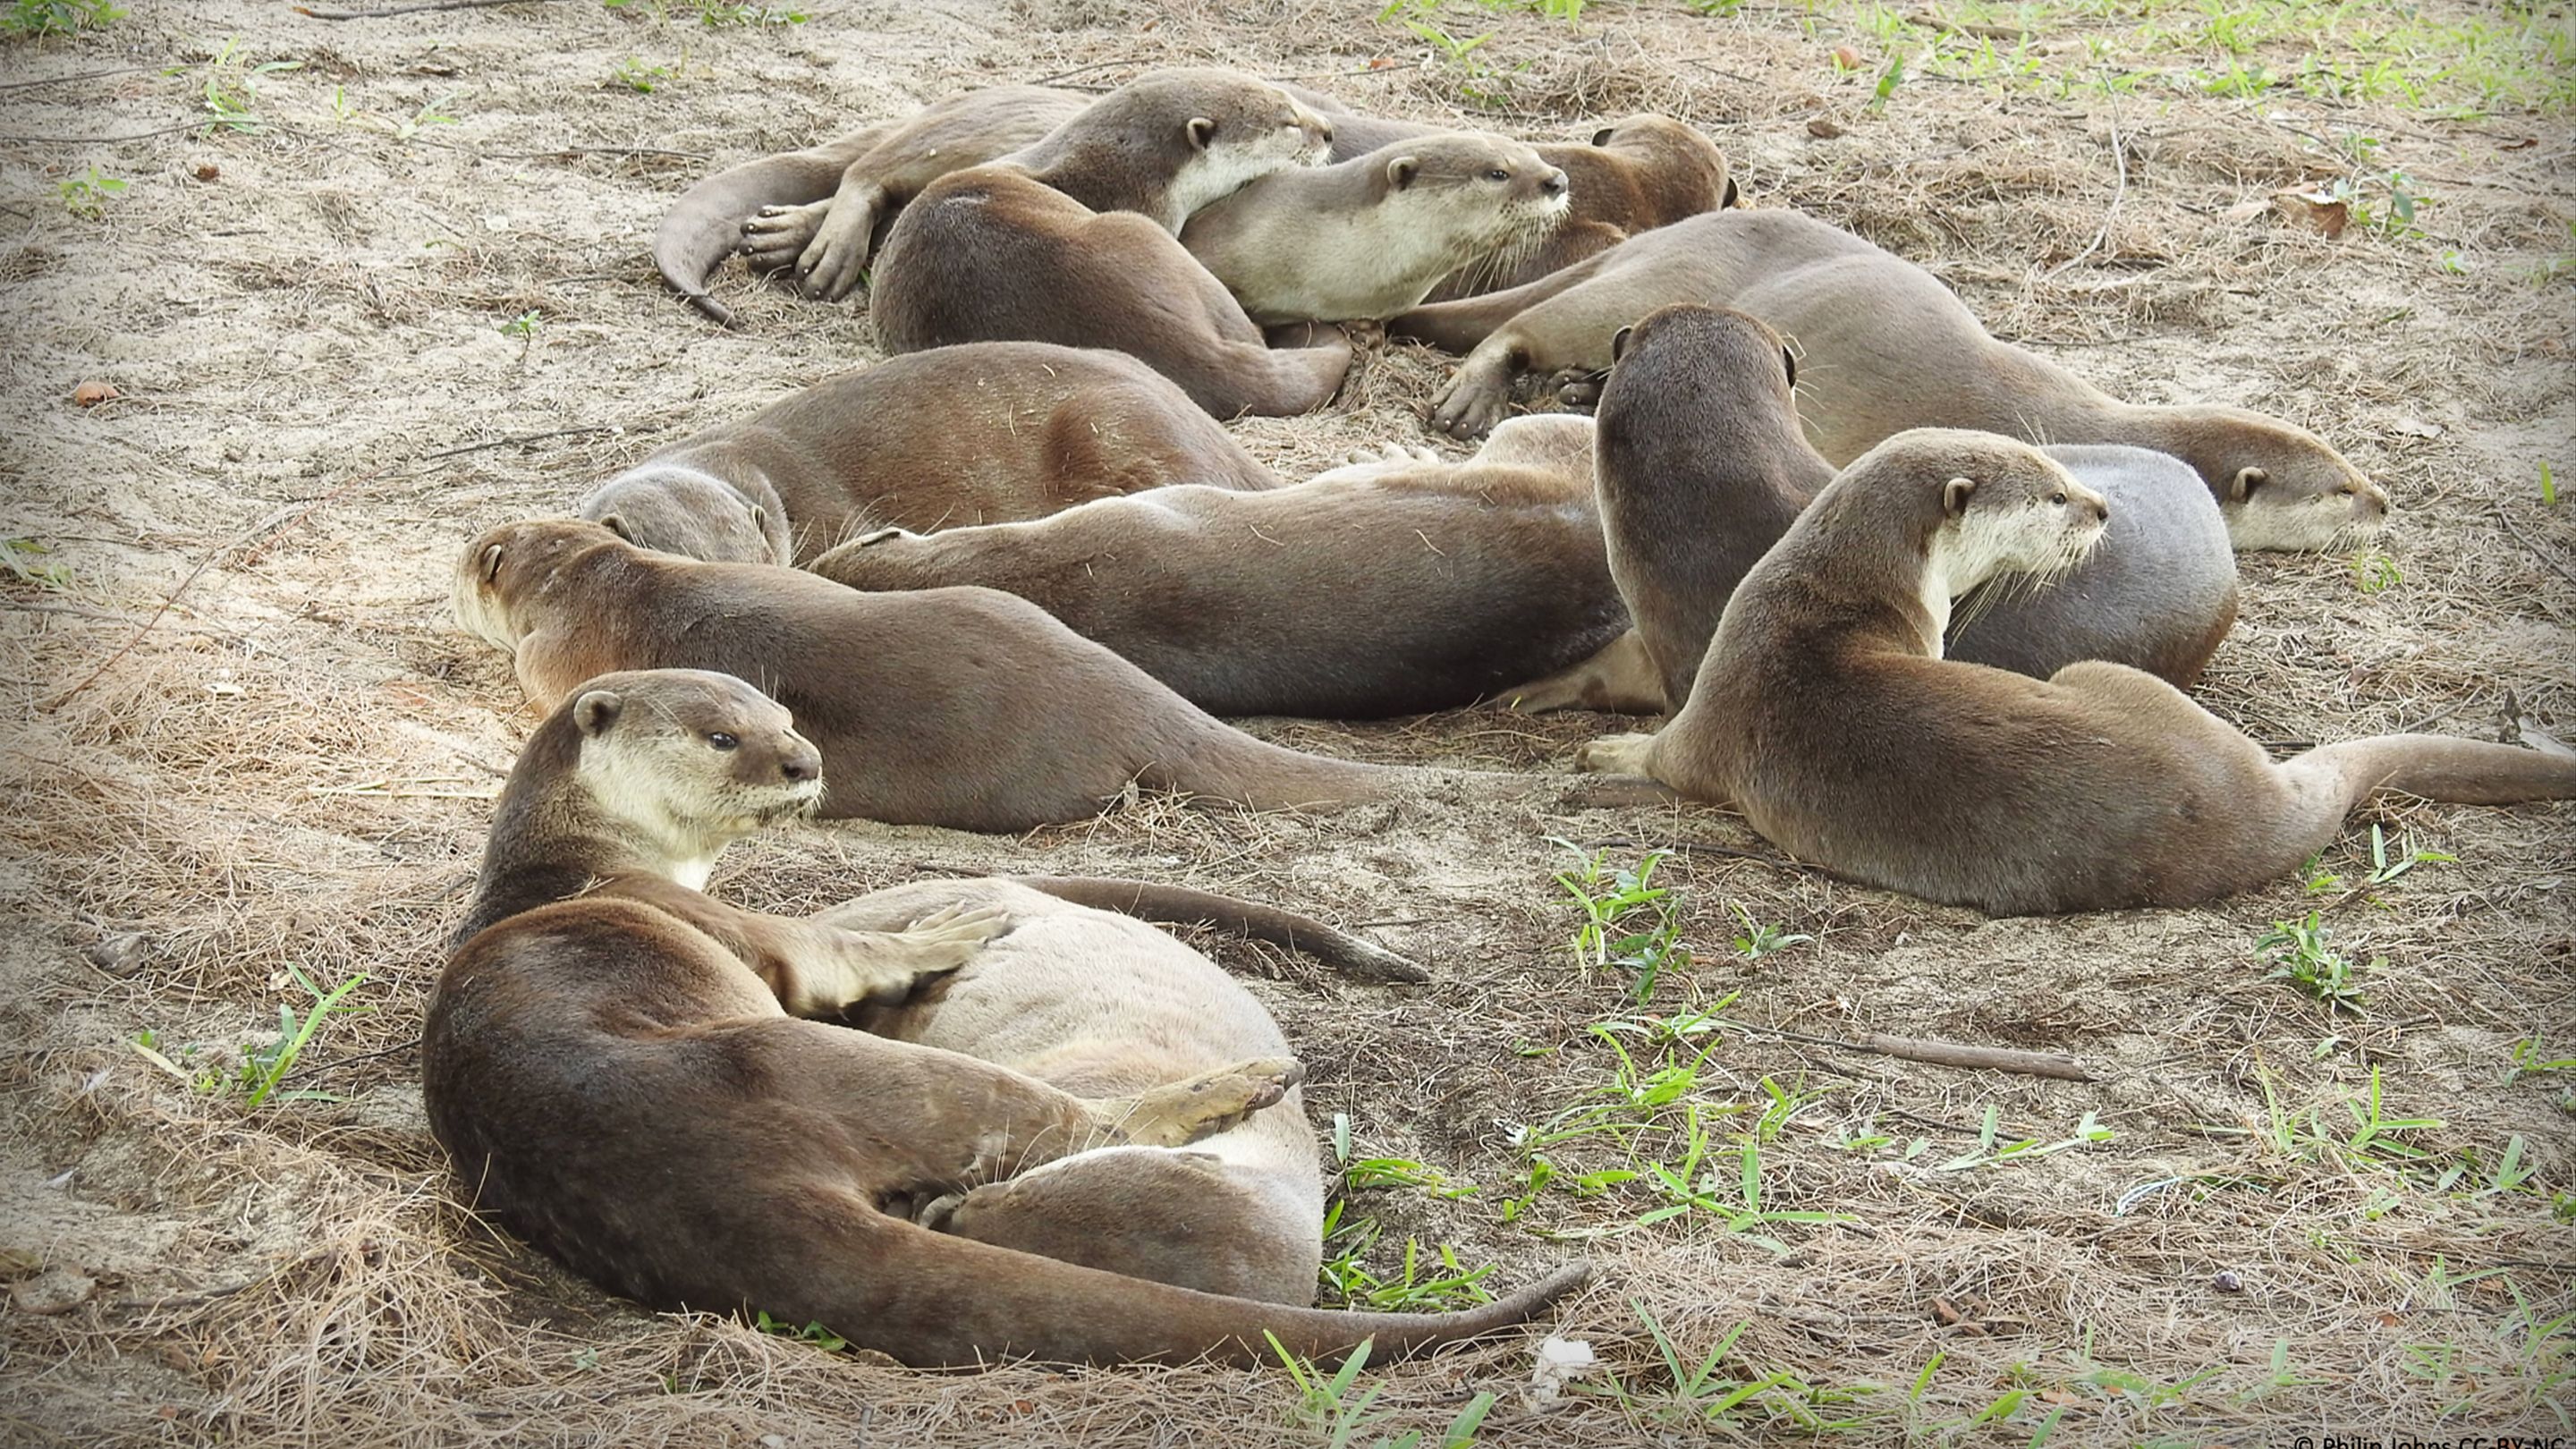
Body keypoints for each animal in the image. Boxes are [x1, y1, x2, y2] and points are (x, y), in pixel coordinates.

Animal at [426, 668, 1587, 1366]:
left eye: (788, 722)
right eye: (723, 736)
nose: (805, 764)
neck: (581, 860)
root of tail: (706, 1186)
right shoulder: (745, 932)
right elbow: (838, 957)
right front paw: (956, 931)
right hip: (815, 1066)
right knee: (1069, 1123)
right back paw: (1234, 1088)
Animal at [1390, 208, 2390, 550]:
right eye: (2341, 489)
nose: (2386, 503)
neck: (2079, 414)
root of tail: (1668, 230)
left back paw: (1577, 394)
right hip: (1648, 285)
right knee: (1522, 326)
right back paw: (1472, 397)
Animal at [1572, 430, 2576, 914]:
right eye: (2053, 495)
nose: (2100, 508)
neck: (1827, 597)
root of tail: (2259, 804)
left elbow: (1667, 756)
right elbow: (1664, 756)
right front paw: (1603, 757)